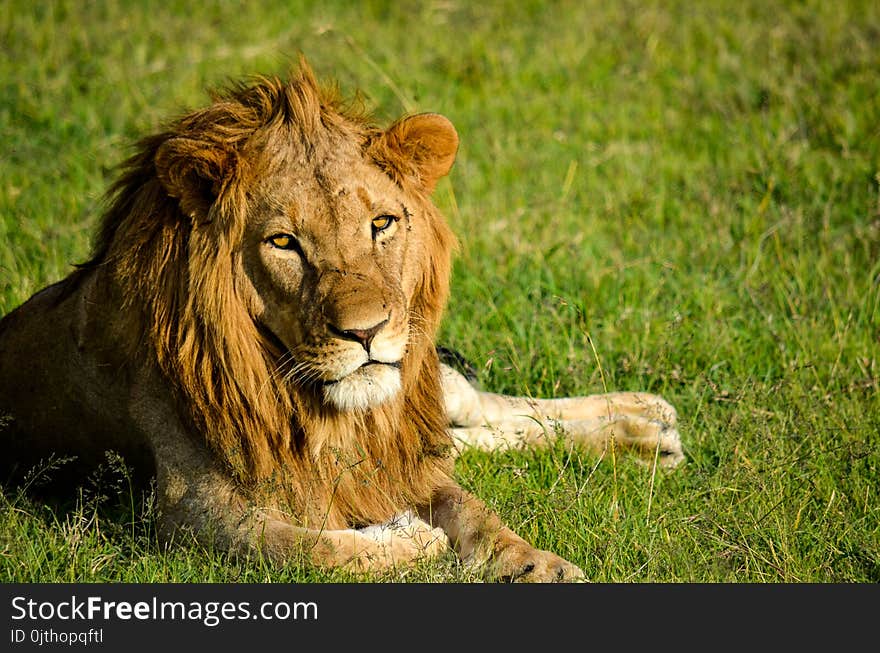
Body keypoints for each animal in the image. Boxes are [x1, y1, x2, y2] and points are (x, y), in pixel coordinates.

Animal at [0, 61, 680, 580]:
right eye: (283, 242)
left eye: (382, 223)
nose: (367, 332)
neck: (318, 411)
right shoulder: (187, 509)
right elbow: (310, 548)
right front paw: (410, 537)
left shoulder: (398, 454)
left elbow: (478, 515)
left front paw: (538, 564)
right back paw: (647, 434)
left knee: (480, 409)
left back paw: (643, 423)